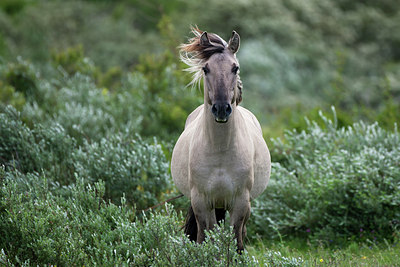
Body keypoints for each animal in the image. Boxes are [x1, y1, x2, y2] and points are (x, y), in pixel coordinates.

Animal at [170, 27, 270, 253]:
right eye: (206, 69)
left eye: (236, 68)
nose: (222, 109)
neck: (221, 152)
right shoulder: (201, 201)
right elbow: (206, 238)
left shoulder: (240, 203)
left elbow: (235, 240)